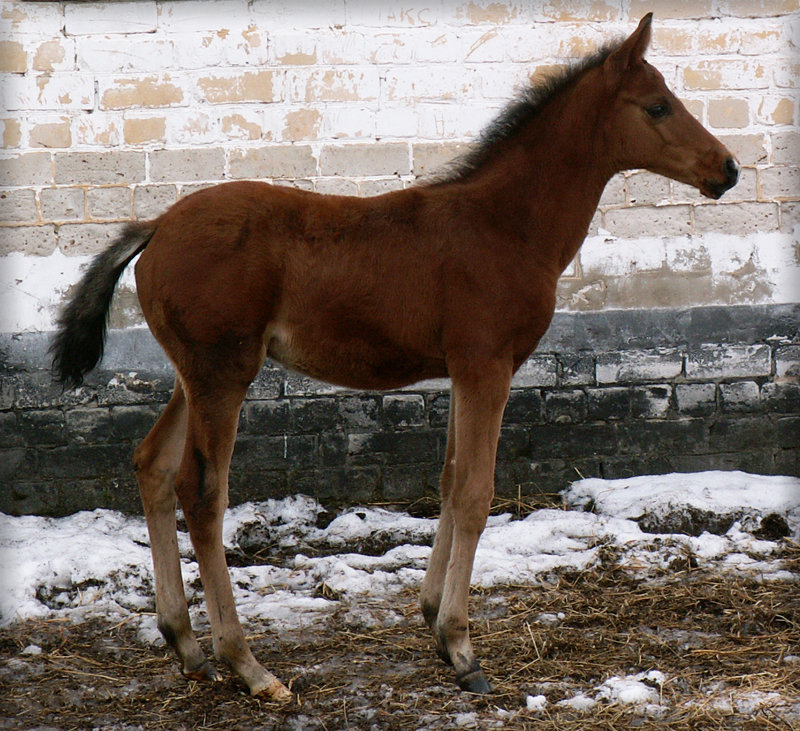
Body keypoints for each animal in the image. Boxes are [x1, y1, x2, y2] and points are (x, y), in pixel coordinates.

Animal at [51, 14, 736, 700]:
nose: (726, 168)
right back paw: (246, 663)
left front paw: (433, 617)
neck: (505, 225)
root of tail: (157, 226)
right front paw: (461, 648)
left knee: (152, 465)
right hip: (223, 375)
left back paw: (186, 645)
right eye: (657, 105)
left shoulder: (465, 369)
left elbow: (451, 479)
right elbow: (476, 492)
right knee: (201, 492)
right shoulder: (487, 365)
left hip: (193, 375)